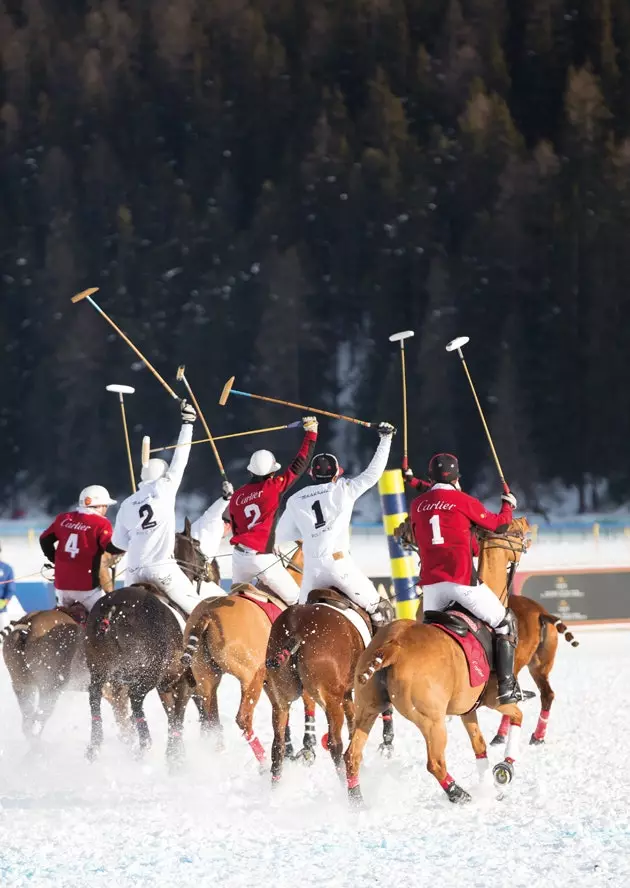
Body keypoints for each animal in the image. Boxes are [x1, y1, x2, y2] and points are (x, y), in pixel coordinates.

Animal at [85, 520, 220, 764]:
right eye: (197, 544)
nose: (210, 572)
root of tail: (116, 609)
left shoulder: (166, 684)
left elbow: (172, 714)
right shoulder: (183, 681)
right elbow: (179, 714)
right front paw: (176, 756)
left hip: (100, 667)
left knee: (95, 695)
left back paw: (95, 745)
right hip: (146, 670)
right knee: (136, 698)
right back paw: (144, 742)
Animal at [183, 544, 306, 768]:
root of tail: (207, 616)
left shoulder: (272, 684)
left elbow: (281, 715)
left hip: (207, 676)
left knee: (211, 718)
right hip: (250, 678)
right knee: (243, 718)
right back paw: (263, 761)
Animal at [266, 588, 398, 788]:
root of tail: (297, 631)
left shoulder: (346, 693)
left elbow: (352, 723)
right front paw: (387, 744)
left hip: (281, 698)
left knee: (278, 745)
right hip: (330, 700)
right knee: (335, 744)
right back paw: (348, 784)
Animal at [346, 516, 544, 808]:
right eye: (516, 531)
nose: (528, 529)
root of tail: (393, 647)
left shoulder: (467, 709)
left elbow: (479, 745)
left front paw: (490, 785)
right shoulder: (494, 700)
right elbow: (516, 715)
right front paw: (505, 769)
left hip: (367, 707)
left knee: (352, 755)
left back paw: (357, 801)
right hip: (431, 720)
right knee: (435, 763)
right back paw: (459, 794)